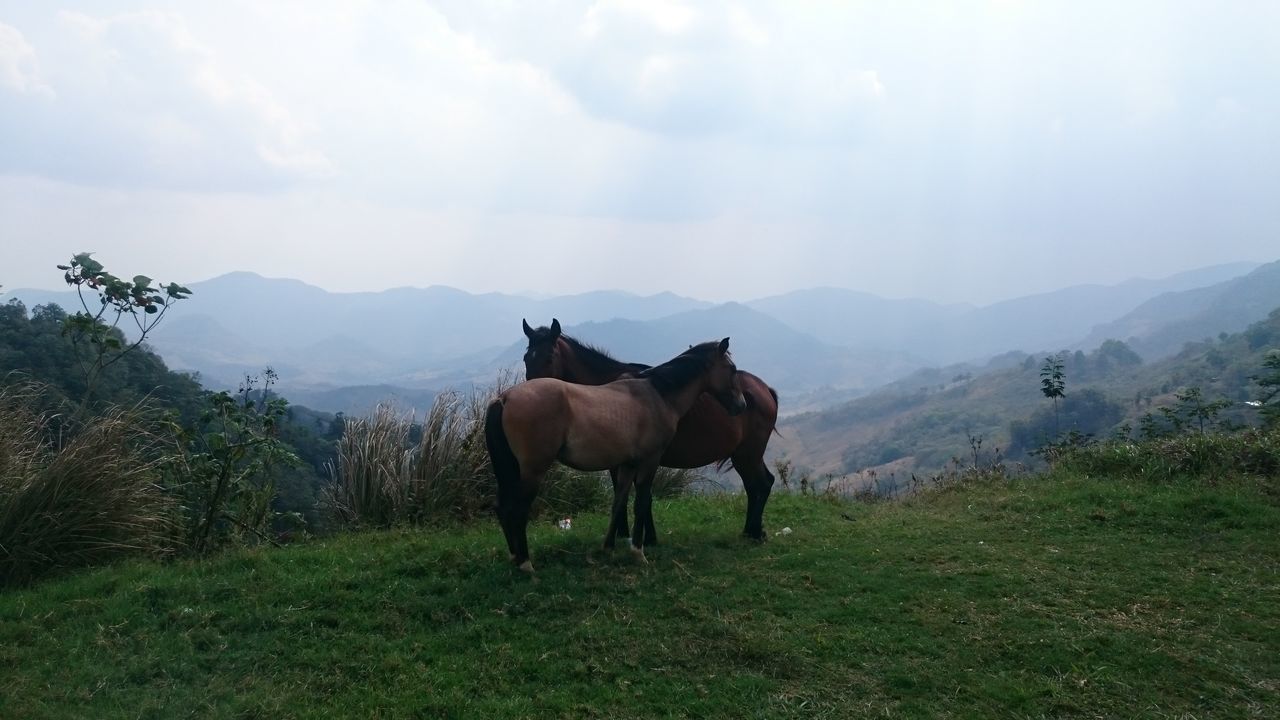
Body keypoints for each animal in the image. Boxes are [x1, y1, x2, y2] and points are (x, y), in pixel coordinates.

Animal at [481, 338, 747, 571]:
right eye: (732, 369)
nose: (742, 405)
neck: (657, 394)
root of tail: (504, 398)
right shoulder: (649, 461)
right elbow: (641, 504)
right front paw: (638, 552)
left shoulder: (628, 464)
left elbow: (618, 503)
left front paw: (608, 547)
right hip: (533, 470)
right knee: (517, 510)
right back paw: (526, 563)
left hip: (511, 469)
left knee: (502, 507)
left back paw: (514, 556)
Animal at [519, 316, 778, 540]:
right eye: (526, 359)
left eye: (549, 358)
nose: (530, 399)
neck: (604, 393)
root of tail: (764, 389)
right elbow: (628, 495)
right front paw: (630, 534)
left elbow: (637, 496)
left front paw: (639, 535)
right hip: (742, 454)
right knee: (756, 485)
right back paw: (751, 530)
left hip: (749, 453)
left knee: (762, 484)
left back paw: (755, 532)